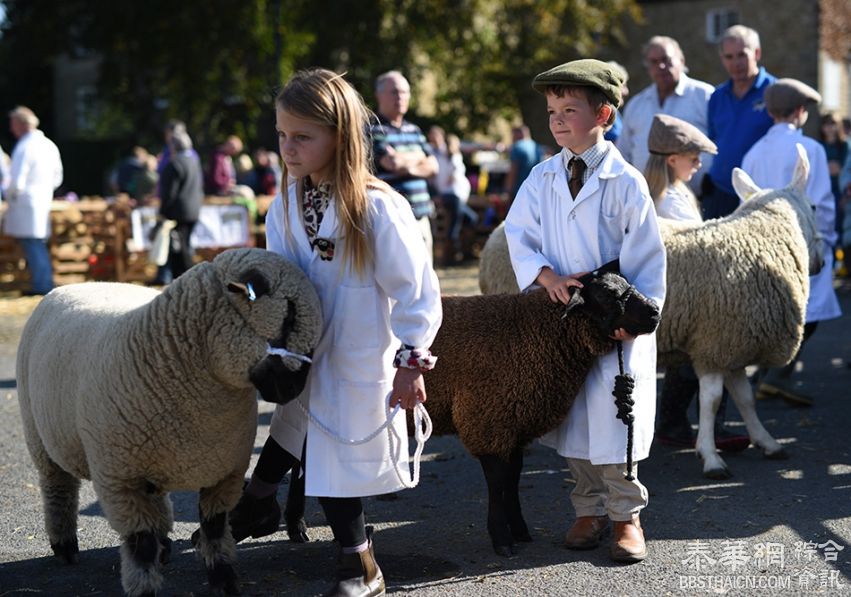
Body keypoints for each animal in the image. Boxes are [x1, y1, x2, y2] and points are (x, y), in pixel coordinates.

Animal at [16, 247, 322, 596]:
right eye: (288, 317)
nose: (294, 389)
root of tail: (77, 284)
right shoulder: (120, 481)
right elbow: (140, 544)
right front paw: (145, 589)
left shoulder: (224, 472)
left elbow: (215, 530)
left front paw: (224, 579)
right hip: (40, 439)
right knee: (58, 489)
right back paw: (64, 545)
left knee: (156, 502)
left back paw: (163, 545)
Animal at [482, 147, 824, 478]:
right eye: (815, 206)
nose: (821, 262)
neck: (761, 238)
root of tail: (497, 232)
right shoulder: (712, 343)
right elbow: (712, 401)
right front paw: (711, 457)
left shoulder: (731, 343)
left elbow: (745, 398)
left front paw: (766, 441)